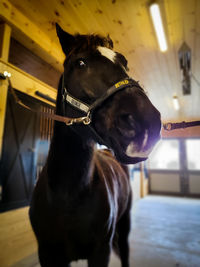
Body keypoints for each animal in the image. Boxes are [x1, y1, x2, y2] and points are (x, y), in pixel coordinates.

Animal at [29, 24, 161, 266]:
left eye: (124, 62)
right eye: (80, 63)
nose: (146, 122)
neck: (67, 196)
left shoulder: (101, 250)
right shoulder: (48, 253)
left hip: (124, 226)